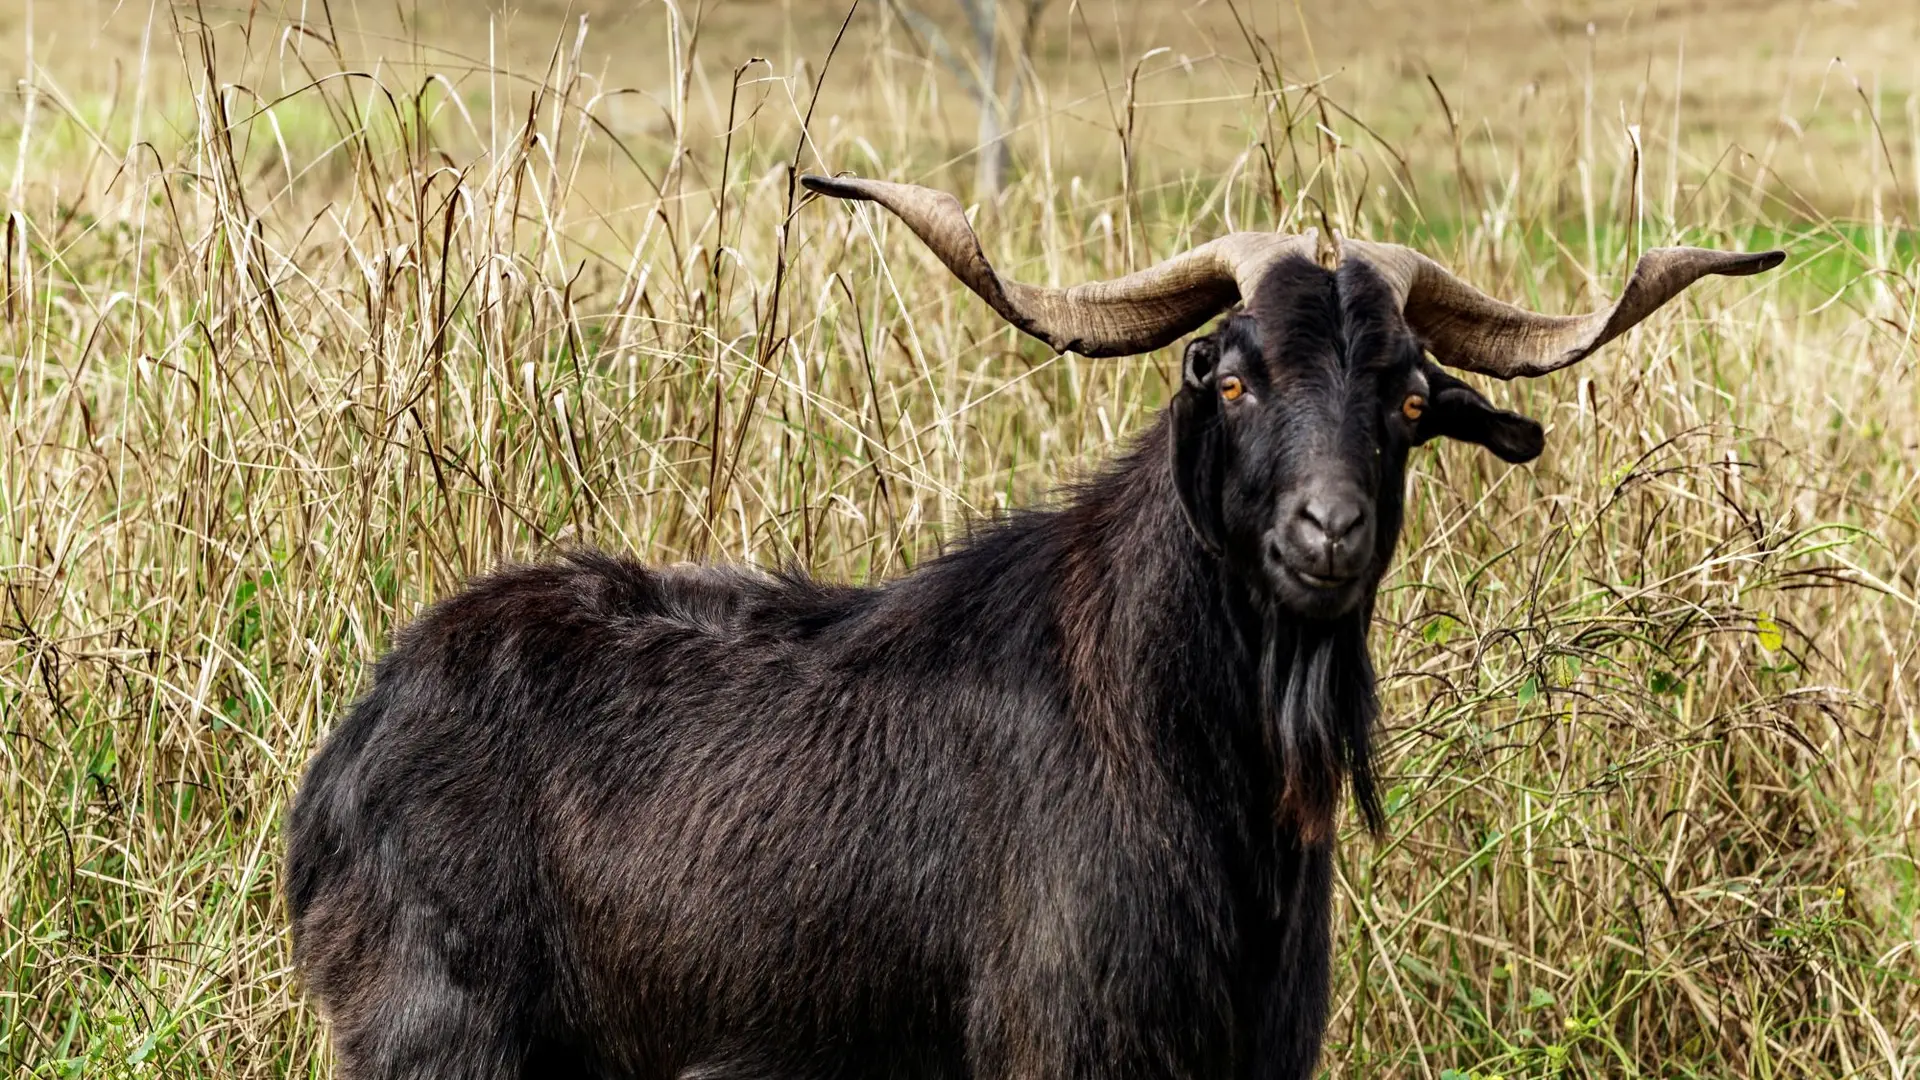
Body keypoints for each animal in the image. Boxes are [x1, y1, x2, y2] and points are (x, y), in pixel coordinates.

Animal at [288, 171, 1781, 1068]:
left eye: (1410, 397)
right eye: (1226, 374)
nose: (1327, 535)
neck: (1177, 748)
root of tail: (348, 756)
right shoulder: (1060, 1040)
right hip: (444, 1037)